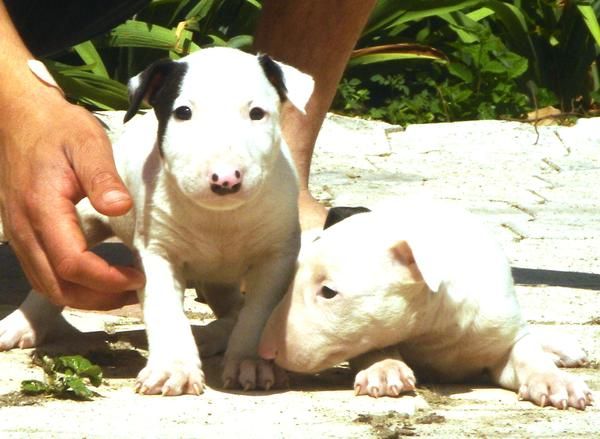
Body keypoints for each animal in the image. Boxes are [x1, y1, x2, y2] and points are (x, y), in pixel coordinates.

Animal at [0, 46, 316, 398]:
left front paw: (251, 361)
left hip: (221, 282)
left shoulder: (277, 257)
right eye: (183, 112)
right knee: (51, 282)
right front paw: (173, 370)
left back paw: (211, 336)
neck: (219, 218)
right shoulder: (156, 253)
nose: (225, 180)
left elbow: (258, 313)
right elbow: (166, 311)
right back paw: (21, 324)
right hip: (86, 219)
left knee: (236, 311)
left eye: (257, 113)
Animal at [260, 201, 592, 410]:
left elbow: (525, 353)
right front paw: (385, 369)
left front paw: (555, 382)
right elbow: (372, 344)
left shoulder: (499, 327)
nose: (267, 351)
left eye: (328, 292)